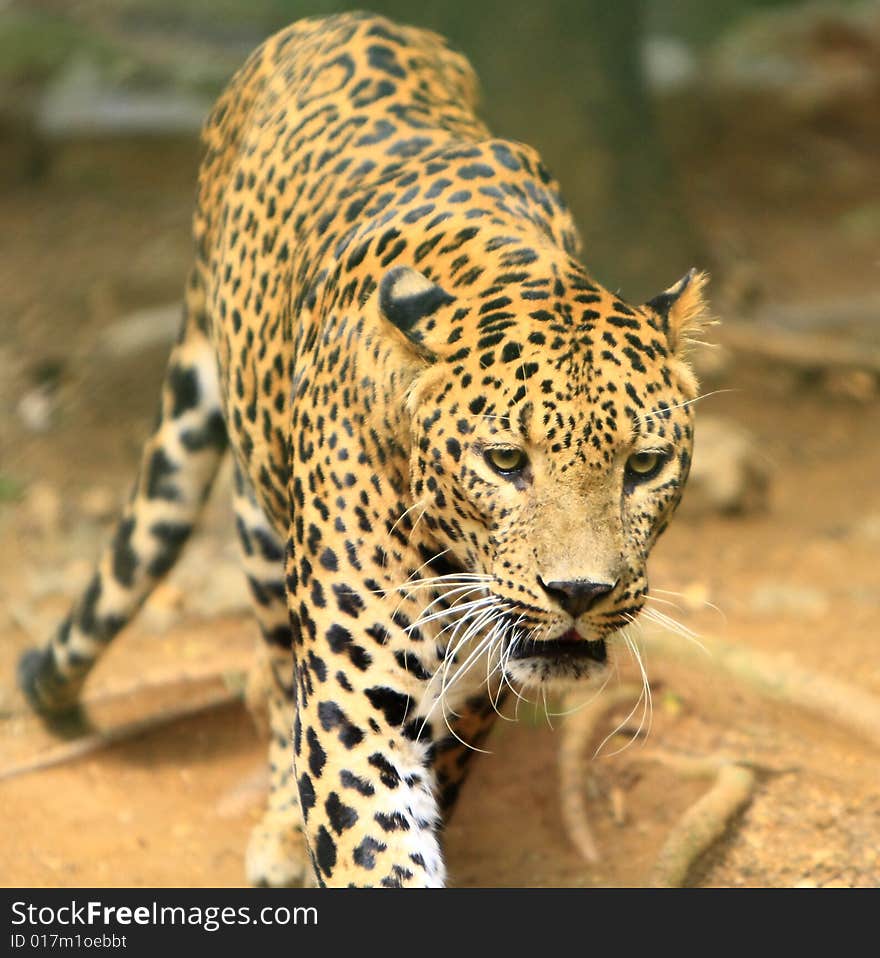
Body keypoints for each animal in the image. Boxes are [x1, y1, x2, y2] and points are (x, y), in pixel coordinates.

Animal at [17, 11, 712, 888]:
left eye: (643, 467)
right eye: (505, 462)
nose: (581, 593)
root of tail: (344, 18)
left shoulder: (473, 689)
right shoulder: (358, 707)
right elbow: (370, 840)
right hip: (259, 524)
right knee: (270, 680)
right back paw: (281, 831)